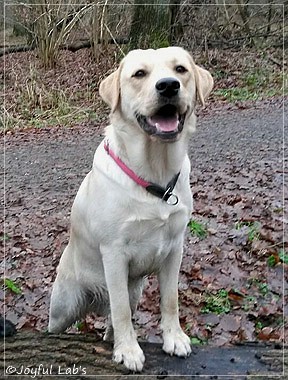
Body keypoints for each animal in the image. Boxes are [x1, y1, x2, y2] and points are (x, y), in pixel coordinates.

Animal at [48, 46, 213, 372]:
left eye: (181, 69)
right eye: (139, 74)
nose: (168, 86)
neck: (154, 174)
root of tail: (94, 299)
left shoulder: (175, 249)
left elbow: (170, 300)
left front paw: (174, 338)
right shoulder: (114, 252)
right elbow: (122, 309)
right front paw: (128, 351)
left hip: (135, 290)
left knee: (112, 319)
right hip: (64, 305)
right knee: (64, 323)